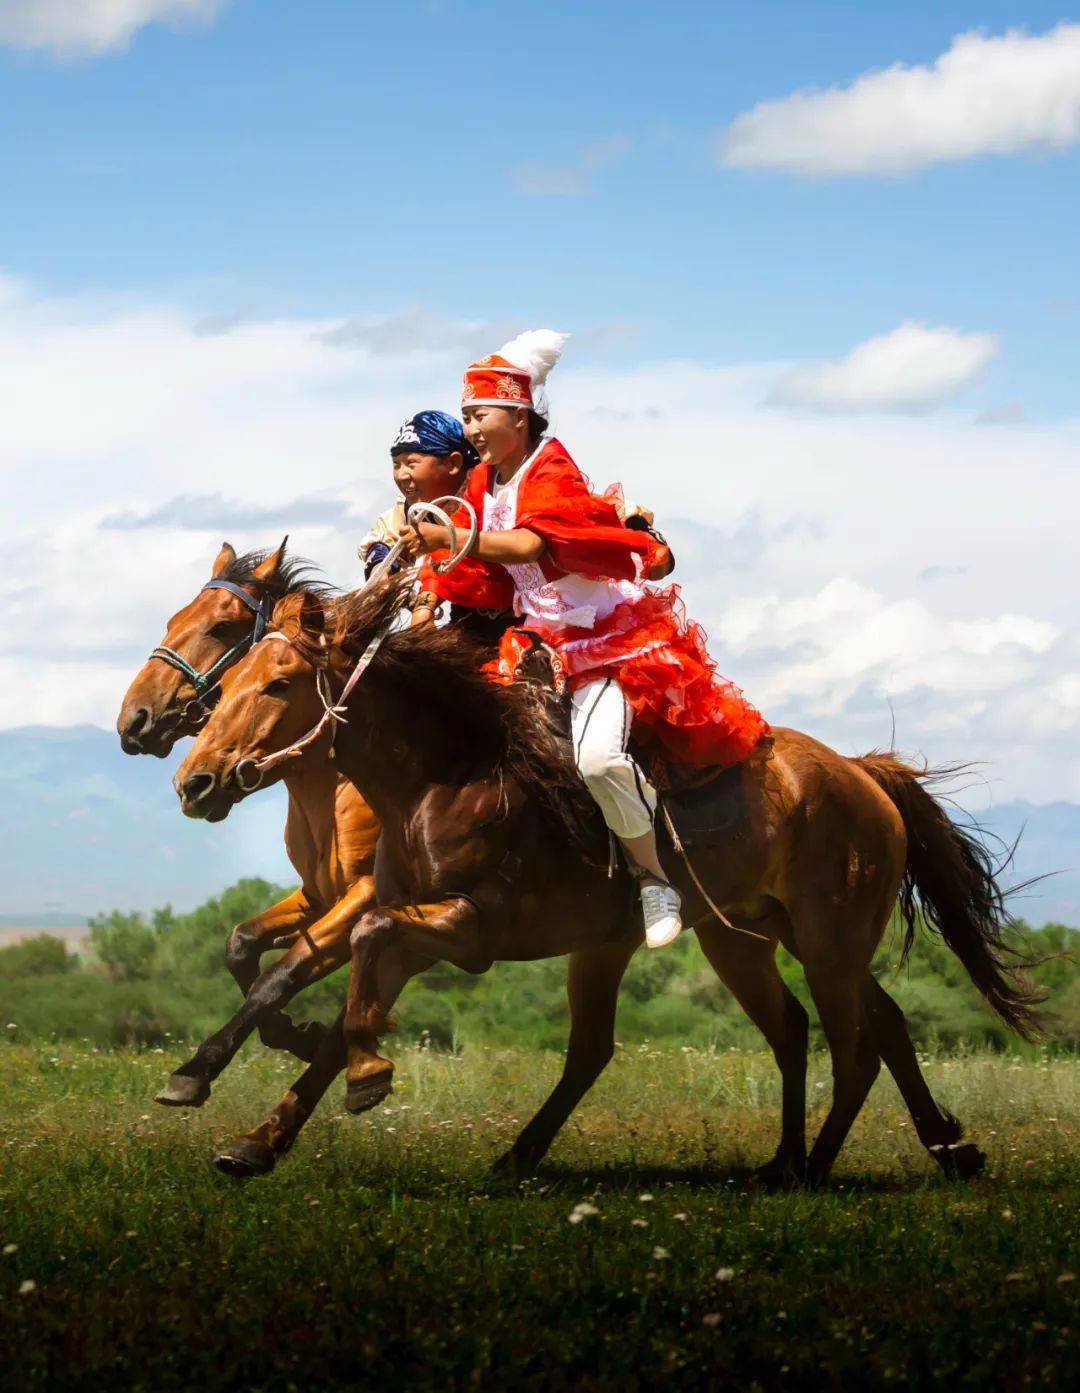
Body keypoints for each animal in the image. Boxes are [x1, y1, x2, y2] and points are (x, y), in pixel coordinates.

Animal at [171, 576, 1036, 1186]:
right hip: (747, 937)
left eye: (278, 683)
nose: (195, 780)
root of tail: (861, 772)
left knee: (851, 1045)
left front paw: (363, 1075)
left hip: (826, 942)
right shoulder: (409, 921)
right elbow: (346, 1001)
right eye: (230, 679)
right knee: (822, 1026)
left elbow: (359, 957)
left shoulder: (467, 926)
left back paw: (817, 1165)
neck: (448, 773)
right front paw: (260, 1135)